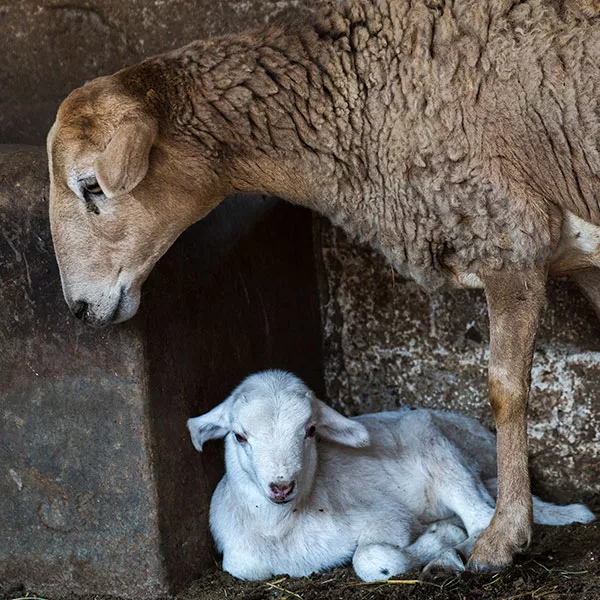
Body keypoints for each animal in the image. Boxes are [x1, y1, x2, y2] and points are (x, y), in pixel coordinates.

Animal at [188, 370, 596, 580]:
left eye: (310, 430)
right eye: (239, 436)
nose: (281, 486)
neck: (281, 529)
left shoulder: (388, 521)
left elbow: (371, 558)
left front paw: (440, 539)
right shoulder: (240, 562)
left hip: (437, 448)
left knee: (482, 520)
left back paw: (449, 555)